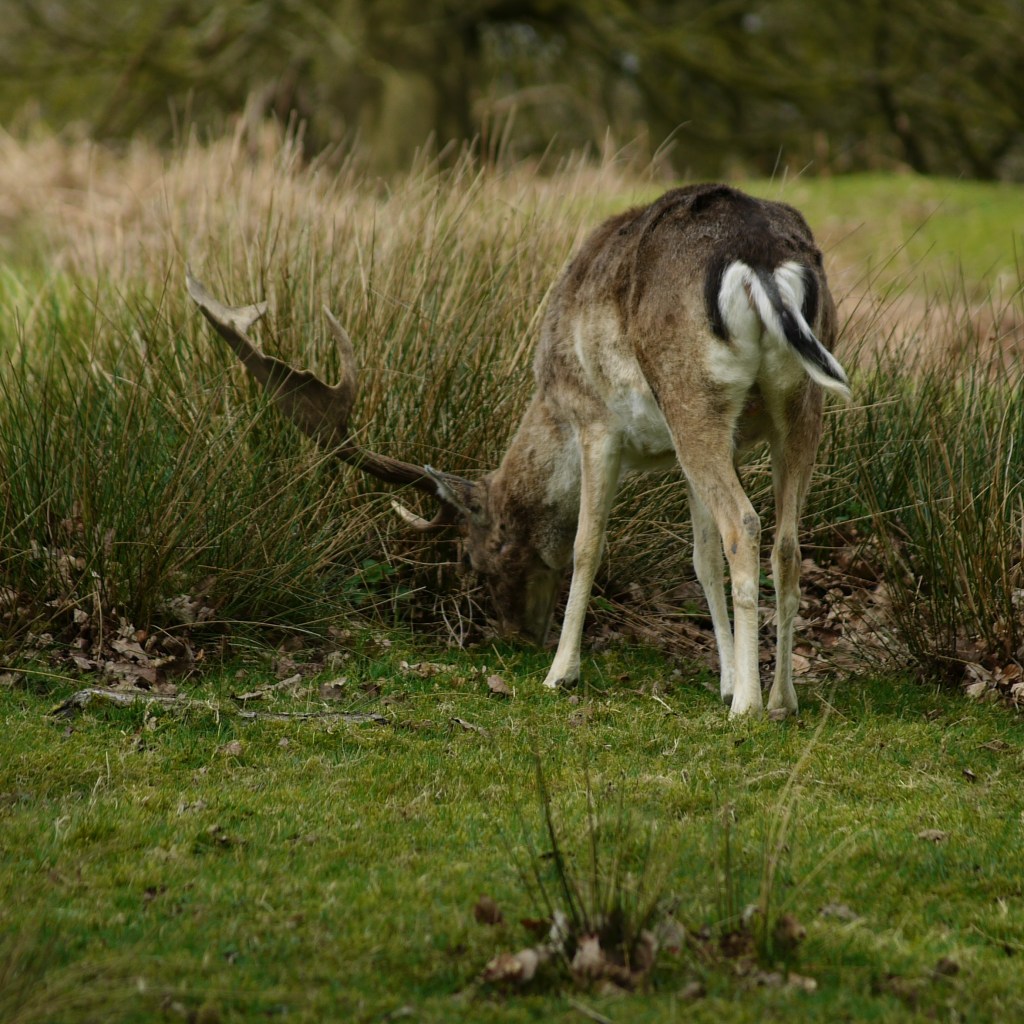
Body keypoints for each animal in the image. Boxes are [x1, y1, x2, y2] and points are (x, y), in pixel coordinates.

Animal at [188, 182, 850, 717]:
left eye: (477, 559)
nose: (516, 636)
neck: (549, 400)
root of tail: (761, 261)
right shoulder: (707, 449)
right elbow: (700, 559)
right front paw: (724, 677)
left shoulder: (594, 418)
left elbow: (585, 546)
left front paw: (561, 674)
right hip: (799, 403)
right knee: (786, 543)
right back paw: (782, 699)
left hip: (693, 396)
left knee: (745, 523)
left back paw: (747, 709)